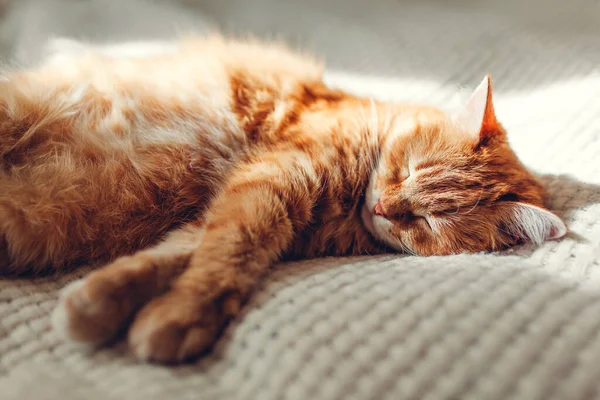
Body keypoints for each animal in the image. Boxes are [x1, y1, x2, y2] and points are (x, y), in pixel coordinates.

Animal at [0, 36, 564, 364]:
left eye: (428, 220)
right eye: (405, 169)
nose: (385, 208)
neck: (349, 206)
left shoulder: (255, 212)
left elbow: (190, 257)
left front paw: (107, 306)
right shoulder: (273, 182)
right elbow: (232, 251)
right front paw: (182, 318)